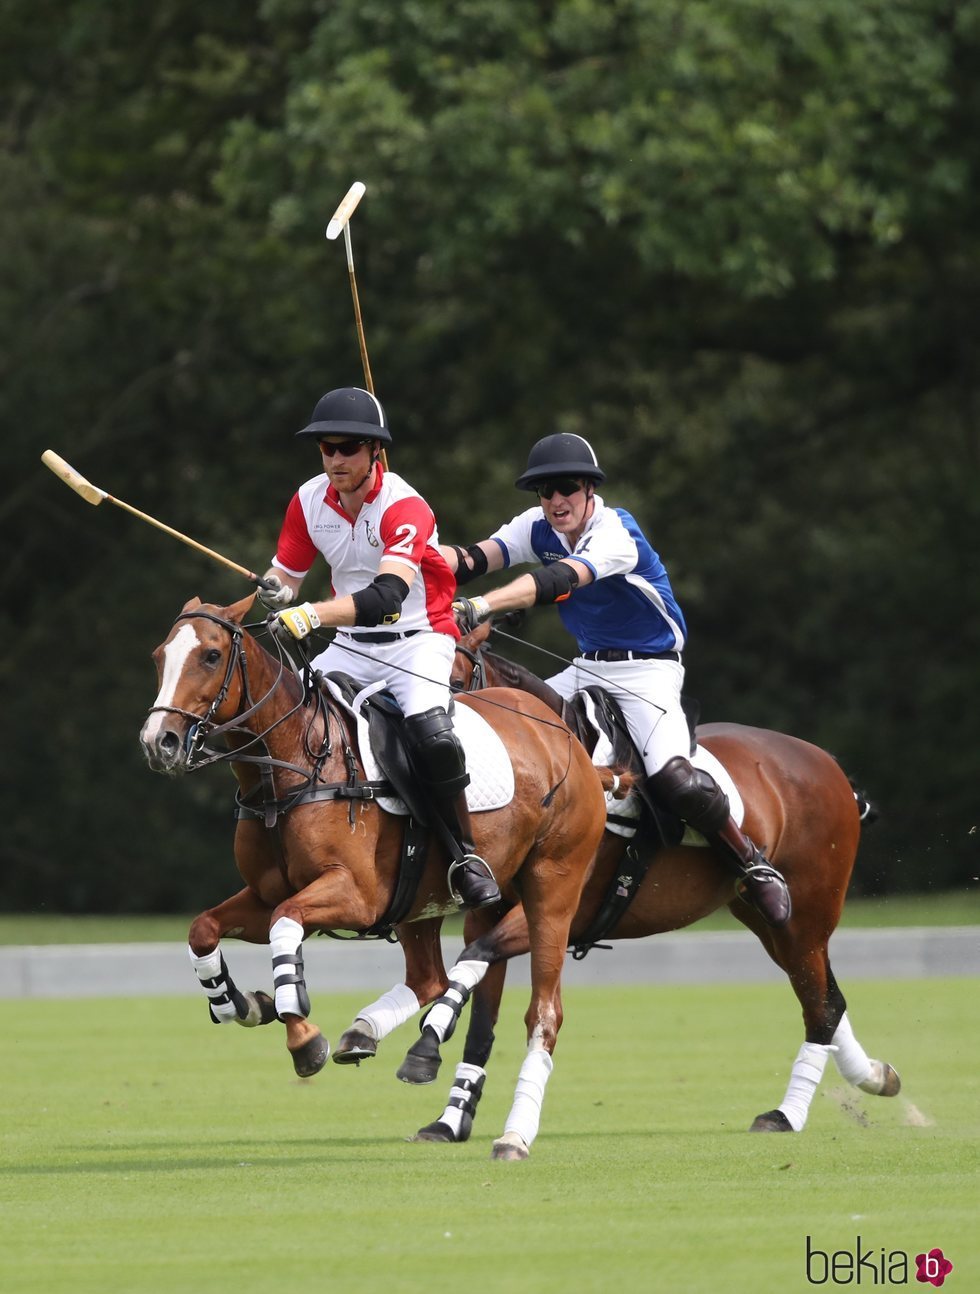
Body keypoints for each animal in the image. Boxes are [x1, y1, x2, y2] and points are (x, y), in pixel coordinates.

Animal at [137, 595, 608, 1164]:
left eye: (209, 656)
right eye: (159, 655)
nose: (158, 742)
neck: (291, 766)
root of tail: (561, 731)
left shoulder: (355, 896)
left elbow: (285, 925)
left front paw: (301, 1034)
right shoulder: (267, 892)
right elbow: (203, 928)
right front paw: (241, 1003)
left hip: (553, 886)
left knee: (544, 1012)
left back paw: (513, 1136)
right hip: (429, 900)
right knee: (432, 976)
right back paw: (371, 1035)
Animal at [393, 626, 895, 1143]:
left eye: (454, 680)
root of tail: (829, 765)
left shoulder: (562, 908)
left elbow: (475, 960)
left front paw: (427, 1044)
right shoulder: (488, 910)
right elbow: (481, 1016)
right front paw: (450, 1117)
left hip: (809, 913)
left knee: (822, 1006)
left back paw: (786, 1114)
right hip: (767, 921)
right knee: (827, 996)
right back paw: (875, 1076)